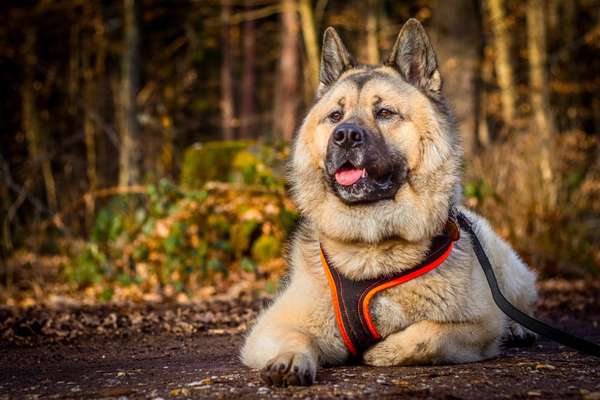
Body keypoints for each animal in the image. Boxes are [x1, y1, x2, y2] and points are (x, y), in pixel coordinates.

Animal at [239, 18, 536, 388]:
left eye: (384, 112)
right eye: (335, 115)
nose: (345, 135)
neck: (371, 243)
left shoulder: (480, 324)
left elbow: (429, 334)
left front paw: (382, 351)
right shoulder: (270, 328)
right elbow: (298, 336)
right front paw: (290, 359)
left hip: (505, 267)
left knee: (519, 302)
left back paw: (519, 326)